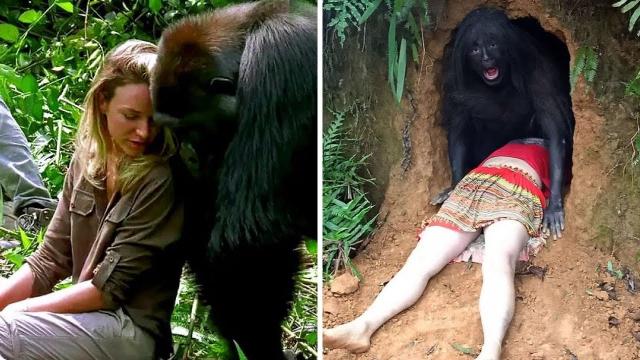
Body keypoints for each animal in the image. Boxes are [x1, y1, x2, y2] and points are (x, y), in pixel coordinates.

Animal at [152, 1, 318, 358]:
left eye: (190, 128)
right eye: (169, 133)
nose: (187, 156)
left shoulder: (279, 59)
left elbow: (248, 238)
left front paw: (261, 345)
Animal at [440, 7, 576, 236]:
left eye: (492, 44)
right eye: (475, 49)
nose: (486, 59)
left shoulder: (538, 71)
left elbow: (554, 128)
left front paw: (555, 204)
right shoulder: (454, 79)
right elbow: (459, 127)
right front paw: (455, 184)